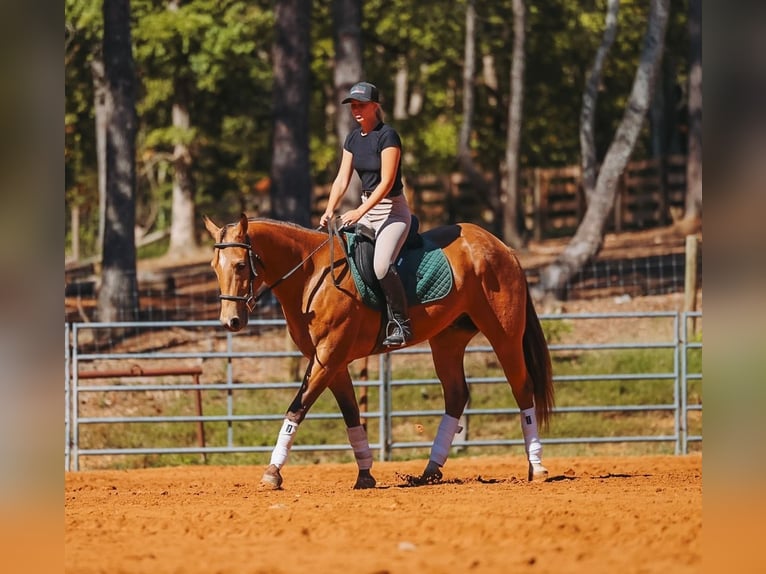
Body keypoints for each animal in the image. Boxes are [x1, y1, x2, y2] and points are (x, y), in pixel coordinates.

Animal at [204, 213, 554, 489]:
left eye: (240, 265)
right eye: (214, 268)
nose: (230, 321)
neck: (311, 275)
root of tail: (500, 246)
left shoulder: (327, 356)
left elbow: (297, 408)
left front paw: (273, 472)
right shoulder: (332, 362)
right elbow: (351, 414)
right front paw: (365, 474)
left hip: (504, 335)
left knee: (522, 388)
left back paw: (536, 466)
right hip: (447, 341)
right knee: (456, 395)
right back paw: (430, 471)